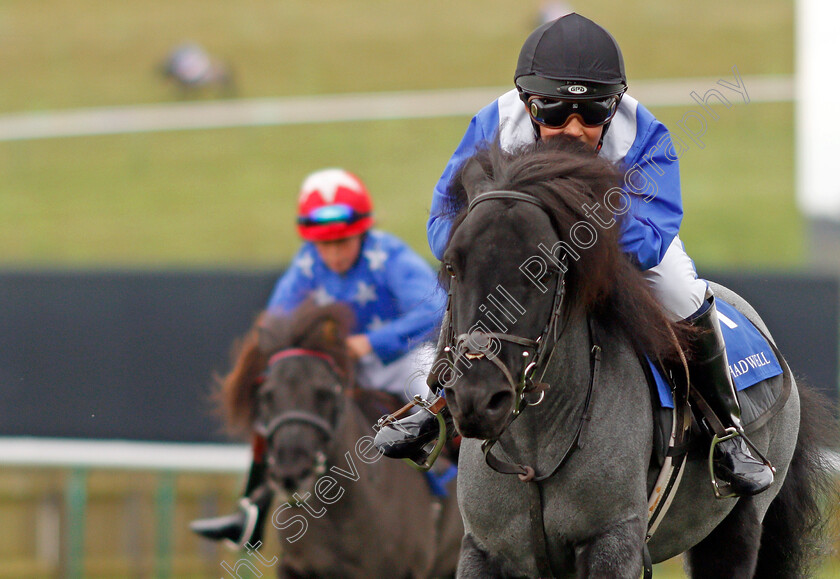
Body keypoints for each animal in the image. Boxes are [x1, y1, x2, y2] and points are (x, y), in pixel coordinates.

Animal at [436, 138, 836, 576]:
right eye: (452, 265)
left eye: (543, 270)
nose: (478, 398)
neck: (534, 455)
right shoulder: (485, 549)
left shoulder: (614, 539)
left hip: (738, 524)